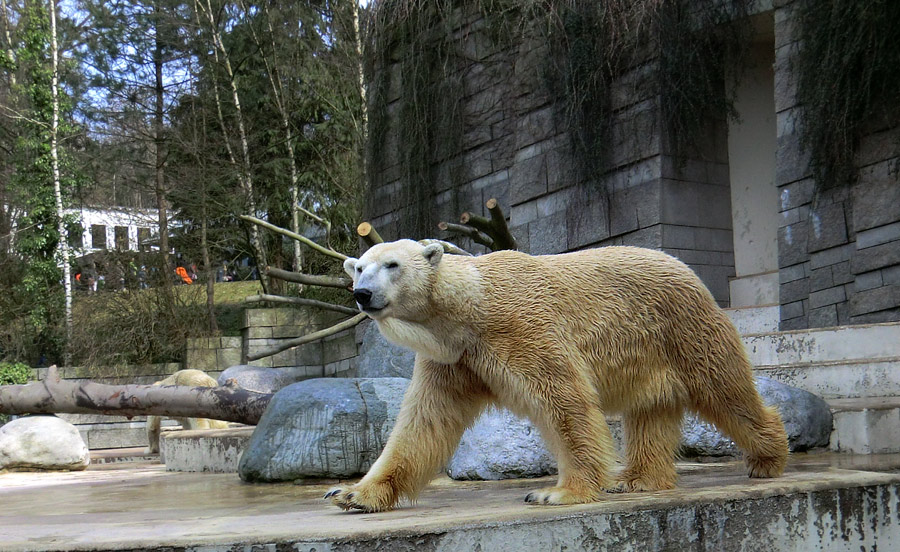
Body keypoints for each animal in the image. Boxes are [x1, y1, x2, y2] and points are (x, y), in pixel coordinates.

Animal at [328, 239, 788, 512]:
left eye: (392, 264)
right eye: (359, 268)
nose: (363, 294)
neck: (472, 308)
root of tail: (688, 271)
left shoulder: (523, 329)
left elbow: (564, 401)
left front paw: (557, 491)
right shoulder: (452, 359)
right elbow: (424, 422)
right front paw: (352, 493)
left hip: (683, 328)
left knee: (725, 389)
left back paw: (767, 459)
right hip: (651, 353)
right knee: (651, 410)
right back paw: (637, 480)